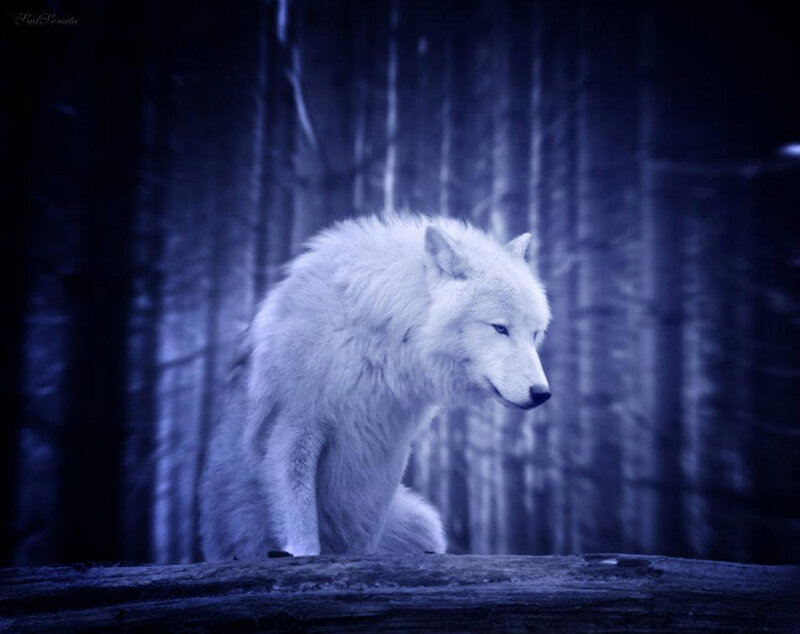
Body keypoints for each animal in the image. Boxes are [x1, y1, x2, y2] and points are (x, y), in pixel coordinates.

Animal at [200, 213, 551, 559]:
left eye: (534, 333)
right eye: (500, 328)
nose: (542, 393)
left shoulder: (388, 446)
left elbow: (365, 530)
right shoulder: (294, 427)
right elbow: (301, 526)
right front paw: (304, 553)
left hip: (423, 523)